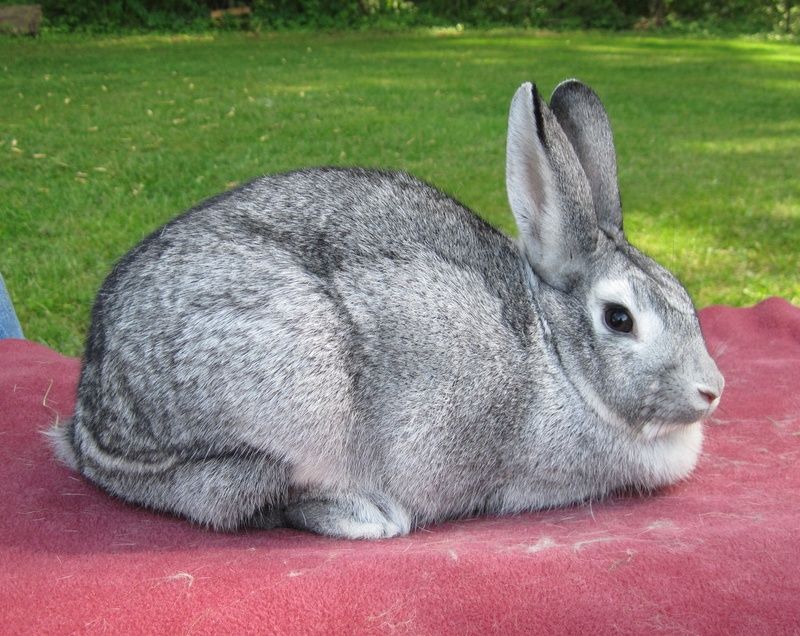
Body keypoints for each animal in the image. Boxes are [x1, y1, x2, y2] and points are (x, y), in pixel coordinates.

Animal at [48, 79, 724, 536]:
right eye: (619, 319)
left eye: (685, 298)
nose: (711, 390)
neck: (555, 354)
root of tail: (93, 432)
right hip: (291, 393)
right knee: (242, 496)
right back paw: (365, 516)